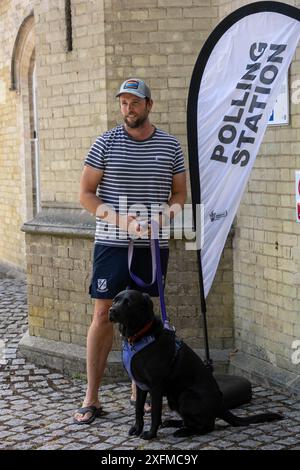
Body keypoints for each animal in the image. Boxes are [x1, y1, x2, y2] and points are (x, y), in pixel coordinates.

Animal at [109, 290, 282, 440]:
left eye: (128, 302)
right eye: (115, 300)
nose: (111, 310)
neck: (138, 336)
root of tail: (220, 405)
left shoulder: (155, 386)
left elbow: (155, 414)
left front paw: (150, 434)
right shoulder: (140, 385)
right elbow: (138, 410)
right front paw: (137, 429)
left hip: (186, 396)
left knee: (208, 425)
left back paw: (183, 432)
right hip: (174, 399)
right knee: (193, 421)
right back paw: (175, 423)